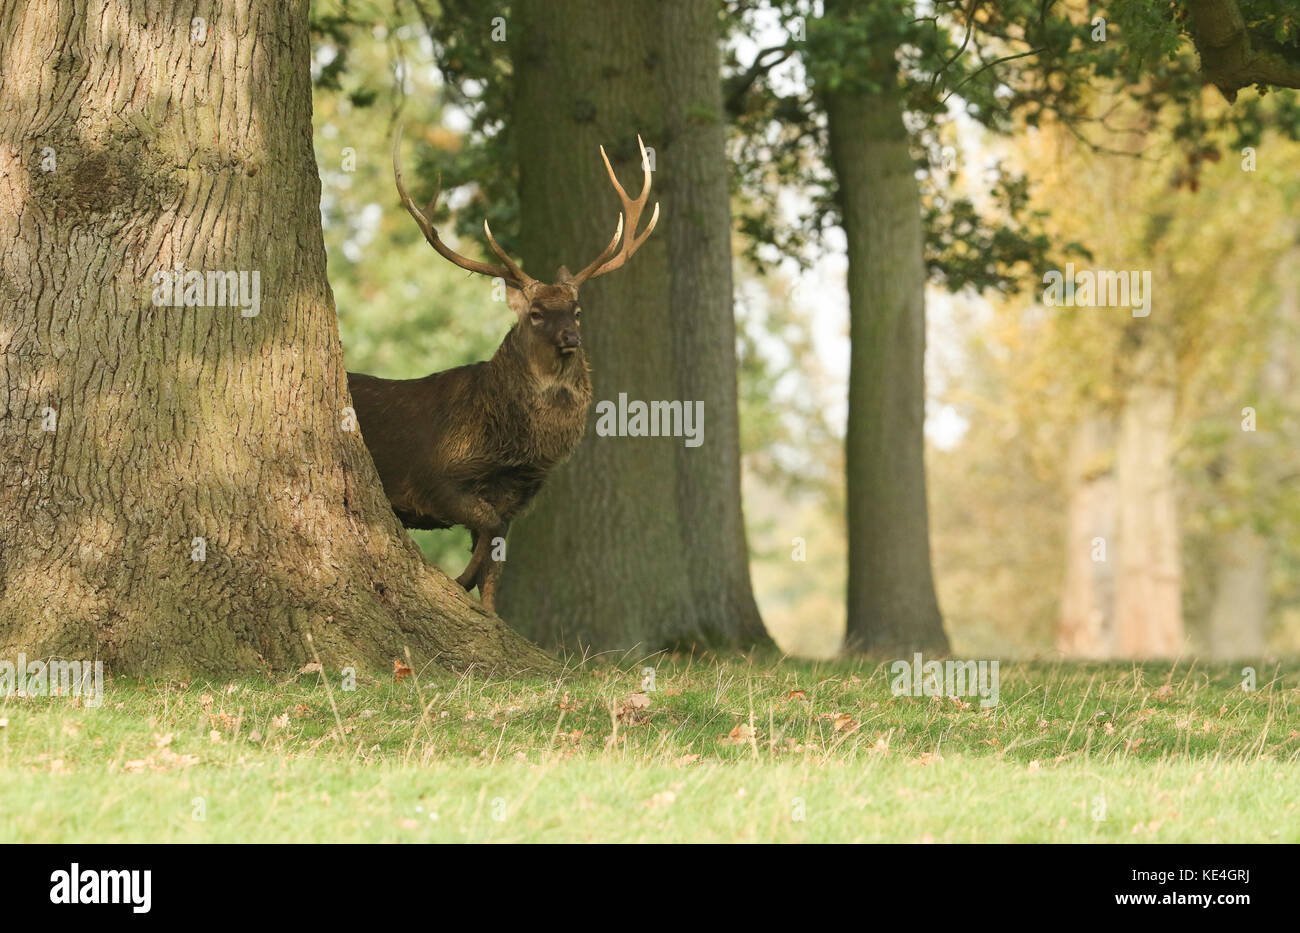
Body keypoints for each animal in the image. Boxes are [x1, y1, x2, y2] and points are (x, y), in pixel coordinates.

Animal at [346, 128, 658, 612]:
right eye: (535, 313)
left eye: (578, 310)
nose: (572, 337)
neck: (512, 452)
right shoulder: (433, 477)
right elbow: (487, 533)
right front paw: (457, 581)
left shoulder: (515, 501)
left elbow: (495, 563)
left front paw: (485, 608)